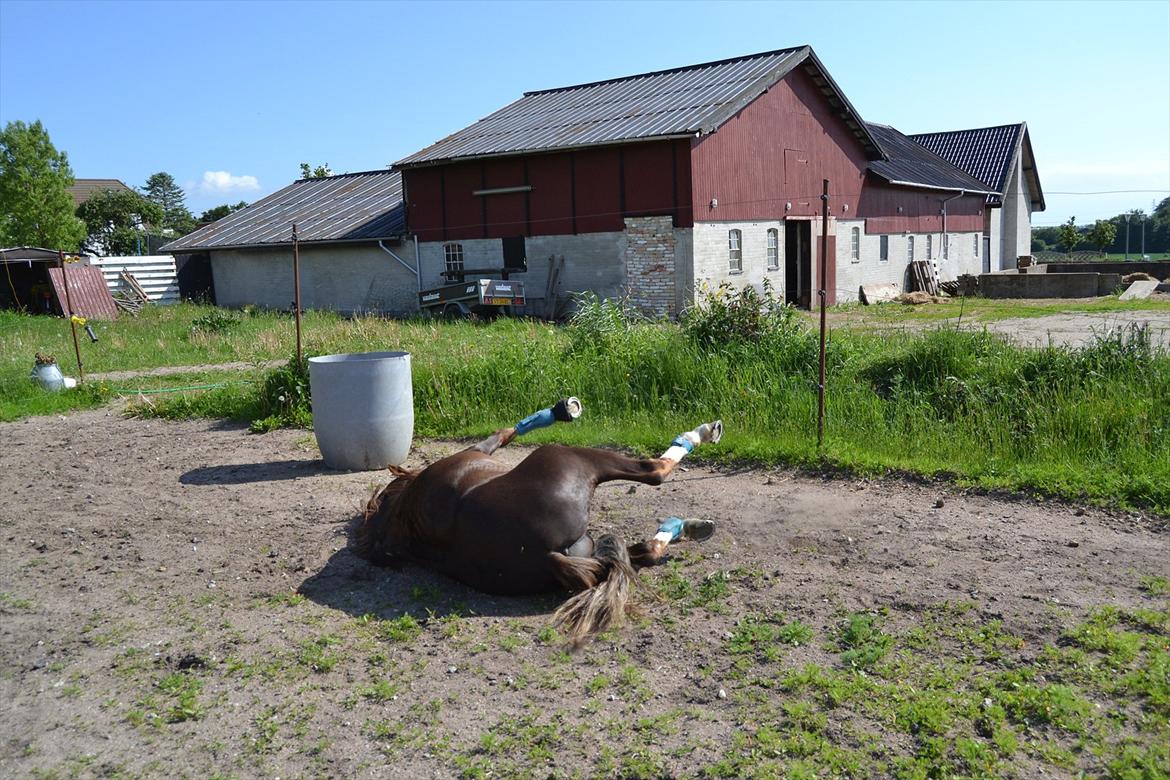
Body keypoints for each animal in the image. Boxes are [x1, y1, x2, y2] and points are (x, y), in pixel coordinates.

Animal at [353, 399, 720, 645]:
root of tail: (546, 556)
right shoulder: (476, 451)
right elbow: (501, 434)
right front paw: (563, 409)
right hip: (571, 457)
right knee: (653, 472)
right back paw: (699, 438)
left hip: (587, 548)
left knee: (643, 552)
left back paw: (684, 527)